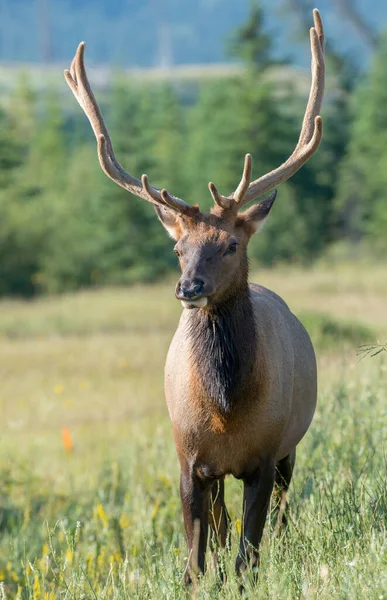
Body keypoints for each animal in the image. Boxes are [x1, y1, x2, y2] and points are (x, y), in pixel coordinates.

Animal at [66, 8, 324, 584]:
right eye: (178, 247)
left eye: (231, 243)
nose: (189, 287)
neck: (226, 413)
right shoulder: (187, 459)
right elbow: (194, 561)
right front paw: (204, 578)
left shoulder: (265, 454)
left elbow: (250, 555)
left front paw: (245, 576)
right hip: (218, 472)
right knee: (223, 523)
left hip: (290, 447)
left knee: (281, 512)